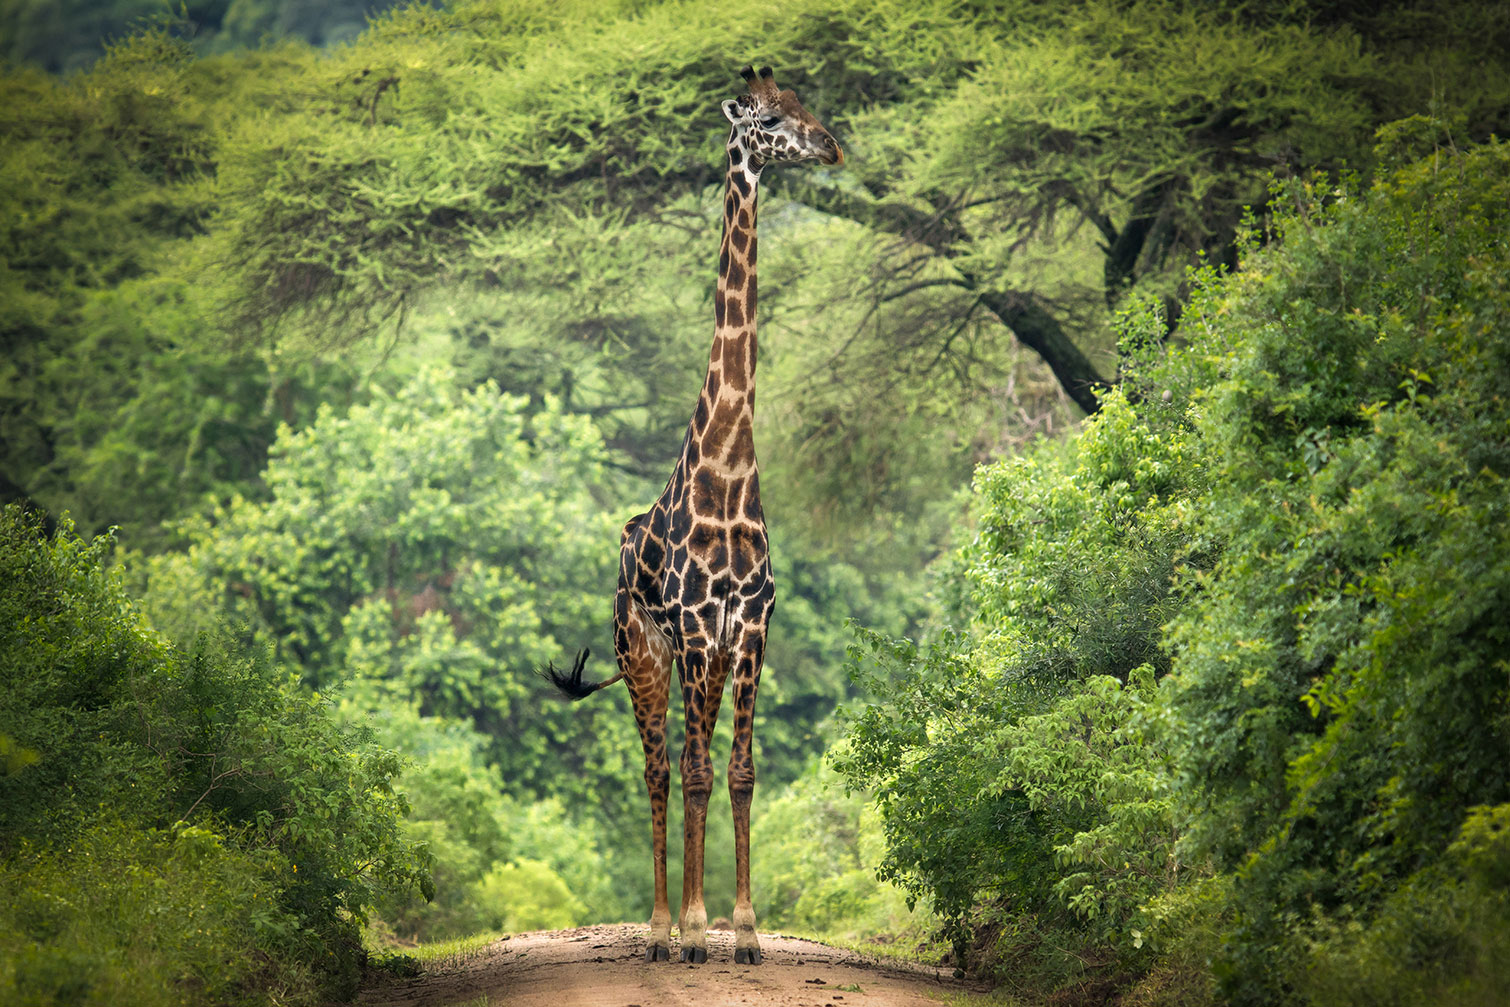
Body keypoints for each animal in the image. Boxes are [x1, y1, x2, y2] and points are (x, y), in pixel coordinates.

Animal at [542, 65, 842, 966]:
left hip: (685, 658)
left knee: (684, 761)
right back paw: (660, 928)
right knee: (659, 767)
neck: (730, 472)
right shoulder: (703, 632)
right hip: (643, 652)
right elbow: (699, 771)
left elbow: (738, 772)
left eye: (805, 104)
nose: (831, 146)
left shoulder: (751, 629)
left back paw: (683, 925)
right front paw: (702, 926)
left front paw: (743, 930)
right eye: (770, 120)